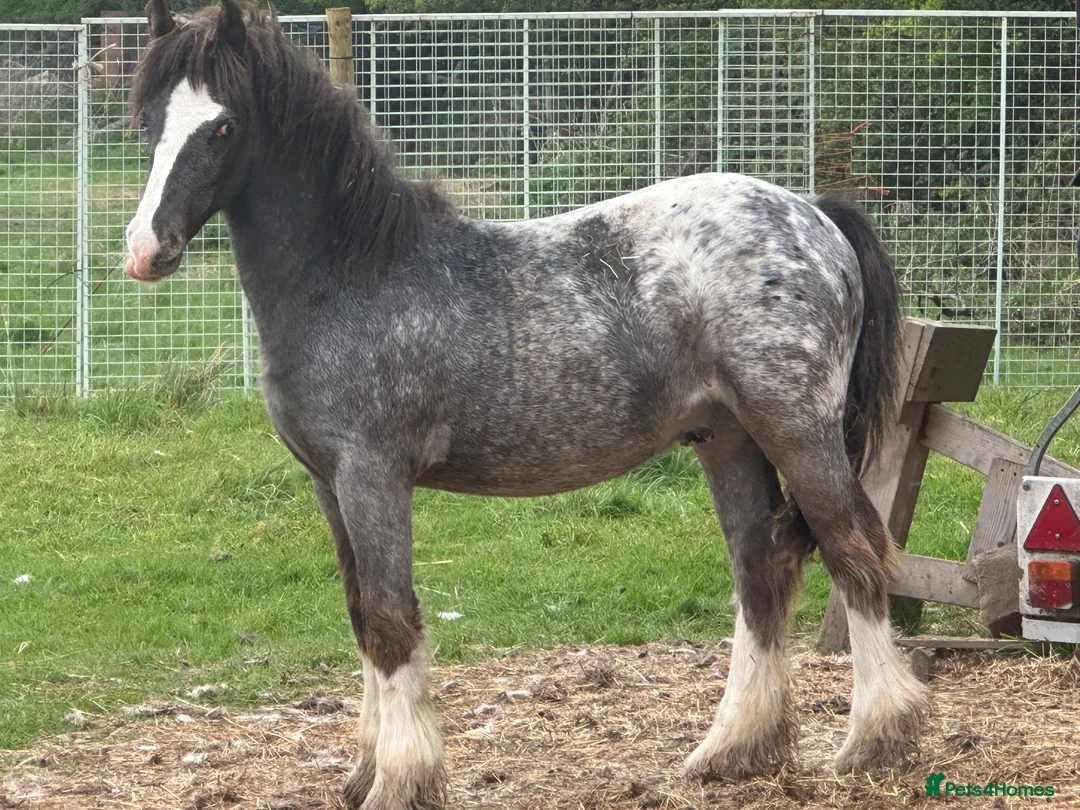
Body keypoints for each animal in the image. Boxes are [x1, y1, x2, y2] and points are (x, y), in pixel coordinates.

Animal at [125, 2, 929, 807]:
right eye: (148, 120)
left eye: (223, 127)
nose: (144, 250)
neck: (355, 277)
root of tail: (814, 214)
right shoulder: (329, 484)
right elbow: (360, 616)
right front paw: (363, 773)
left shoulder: (372, 476)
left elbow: (389, 618)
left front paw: (401, 780)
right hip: (729, 441)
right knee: (760, 568)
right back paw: (732, 749)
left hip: (797, 432)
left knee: (853, 549)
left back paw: (873, 739)